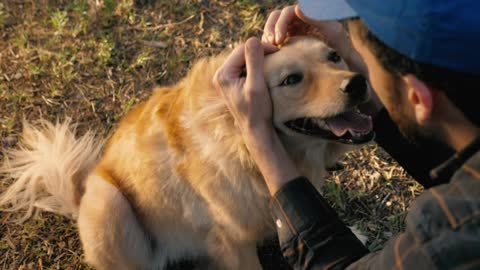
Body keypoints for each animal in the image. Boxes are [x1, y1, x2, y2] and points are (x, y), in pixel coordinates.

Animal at [0, 36, 374, 270]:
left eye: (333, 56)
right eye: (291, 80)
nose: (358, 83)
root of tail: (76, 204)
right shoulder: (231, 241)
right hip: (107, 200)